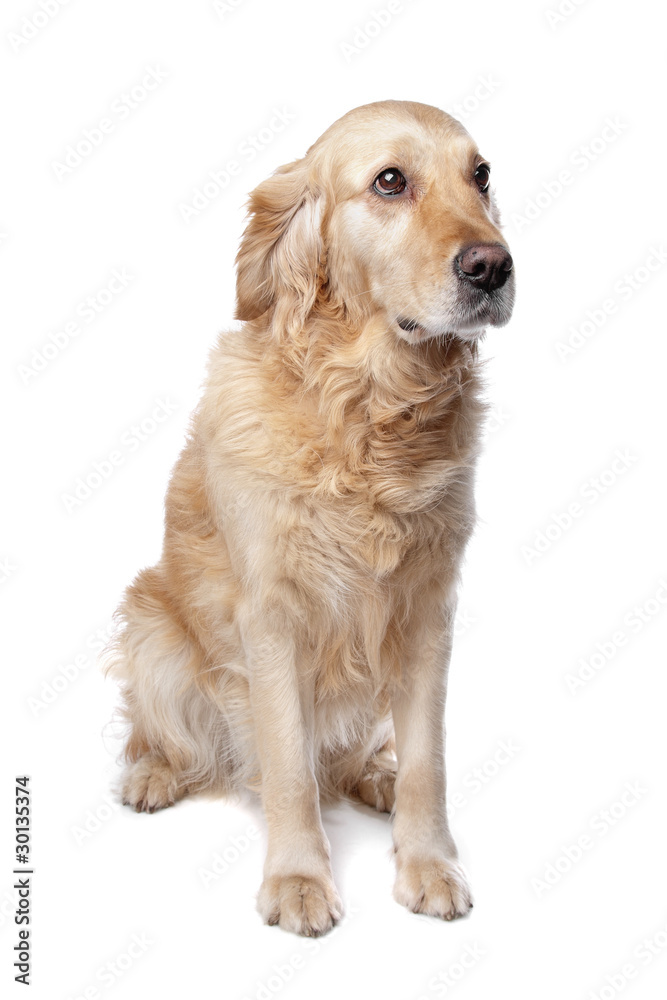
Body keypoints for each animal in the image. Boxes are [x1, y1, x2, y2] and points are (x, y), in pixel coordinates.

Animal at [107, 97, 516, 932]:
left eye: (482, 175)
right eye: (389, 181)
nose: (492, 266)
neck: (372, 417)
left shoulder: (427, 611)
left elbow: (427, 761)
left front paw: (428, 862)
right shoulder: (271, 618)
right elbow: (290, 766)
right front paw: (298, 880)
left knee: (356, 758)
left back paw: (373, 778)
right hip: (151, 629)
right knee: (166, 734)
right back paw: (153, 774)